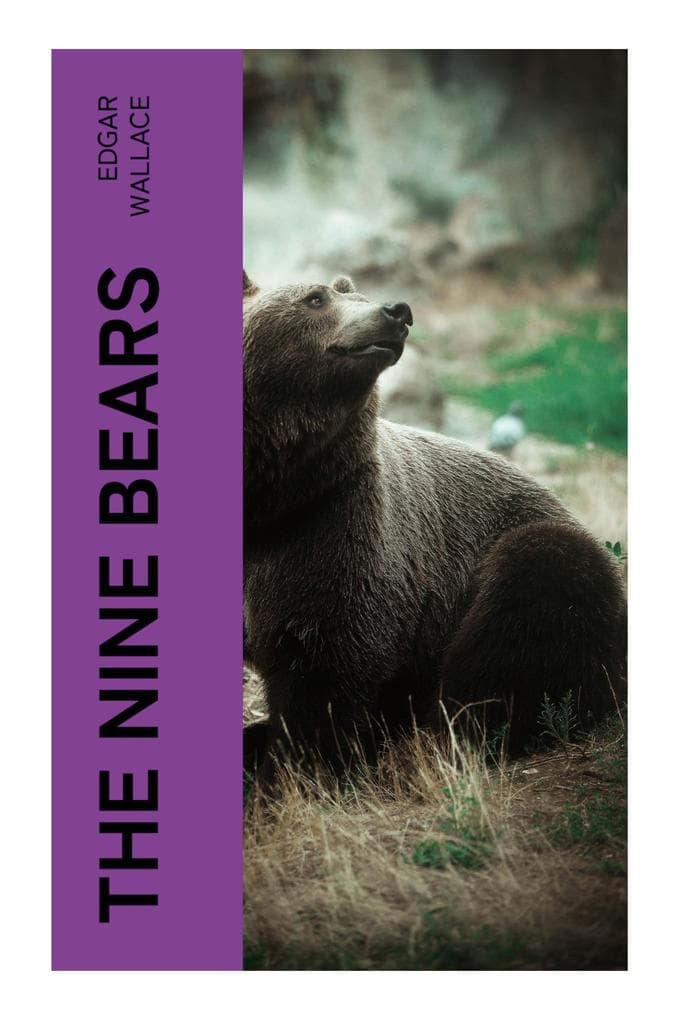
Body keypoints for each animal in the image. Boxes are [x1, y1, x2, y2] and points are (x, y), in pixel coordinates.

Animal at [243, 270, 626, 775]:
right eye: (315, 298)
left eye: (353, 293)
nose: (395, 311)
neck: (272, 494)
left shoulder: (334, 526)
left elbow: (324, 659)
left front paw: (298, 766)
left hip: (520, 564)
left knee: (532, 603)